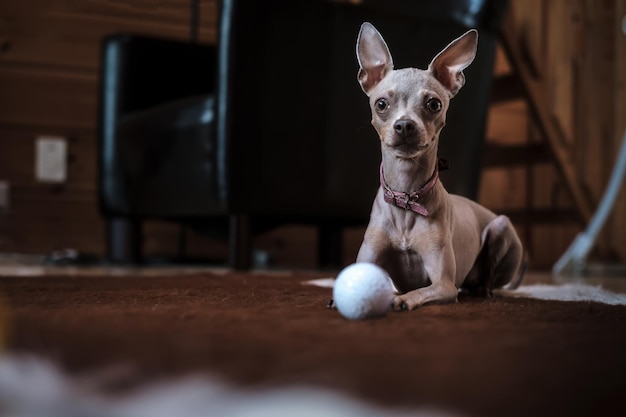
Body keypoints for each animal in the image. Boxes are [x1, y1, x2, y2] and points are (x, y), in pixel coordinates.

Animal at [352, 22, 520, 308]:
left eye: (434, 104)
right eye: (382, 104)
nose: (405, 125)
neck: (407, 198)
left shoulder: (443, 285)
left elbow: (420, 291)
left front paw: (401, 300)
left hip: (501, 227)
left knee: (486, 274)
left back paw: (483, 290)